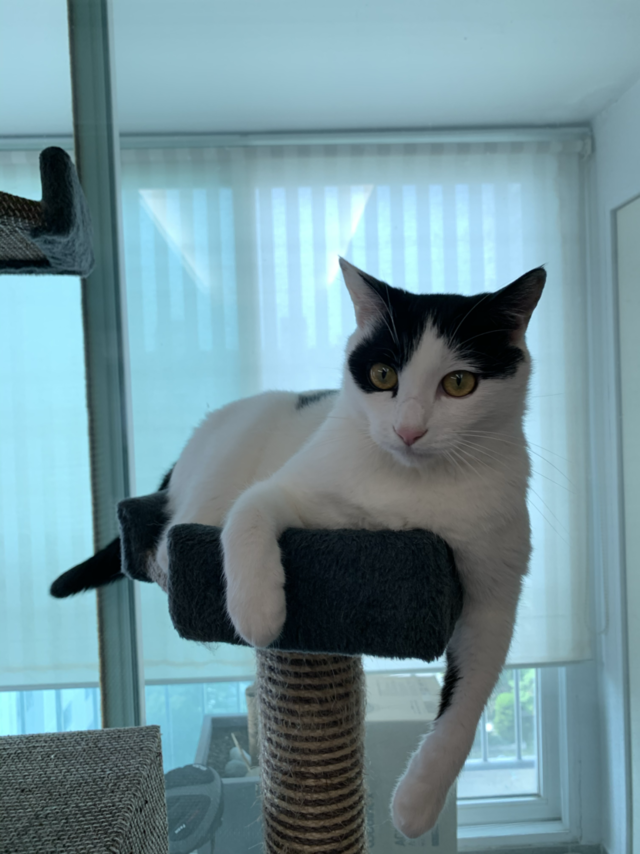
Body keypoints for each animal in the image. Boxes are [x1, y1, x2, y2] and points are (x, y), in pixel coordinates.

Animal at [52, 258, 544, 837]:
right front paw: (259, 613)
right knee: (179, 529)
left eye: (459, 383)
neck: (412, 483)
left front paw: (417, 802)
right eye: (383, 376)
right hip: (218, 467)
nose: (409, 430)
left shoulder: (494, 594)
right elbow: (248, 516)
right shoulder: (285, 488)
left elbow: (467, 704)